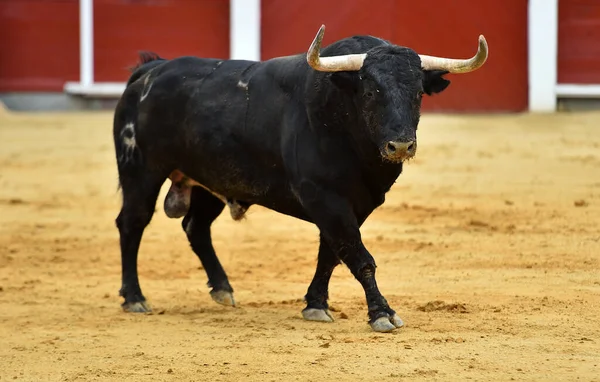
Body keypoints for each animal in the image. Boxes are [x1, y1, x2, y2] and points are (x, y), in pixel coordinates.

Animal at [112, 26, 488, 332]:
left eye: (418, 94)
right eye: (370, 93)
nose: (401, 145)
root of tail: (152, 70)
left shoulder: (356, 203)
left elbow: (332, 254)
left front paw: (316, 305)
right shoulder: (324, 197)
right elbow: (359, 255)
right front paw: (382, 313)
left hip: (208, 179)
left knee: (195, 226)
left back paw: (222, 289)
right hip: (140, 171)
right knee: (132, 222)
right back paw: (135, 298)